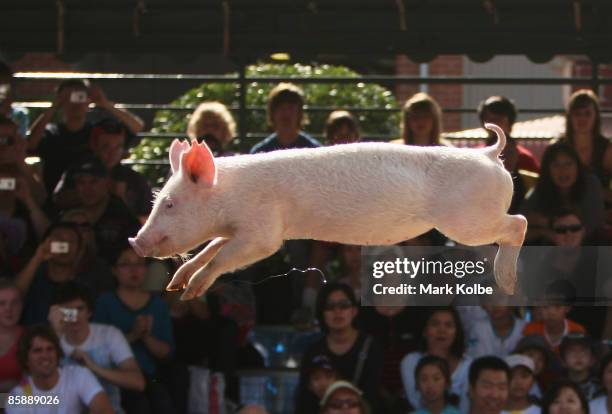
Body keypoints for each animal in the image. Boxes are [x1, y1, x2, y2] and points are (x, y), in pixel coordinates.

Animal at [128, 121, 524, 300]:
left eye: (170, 204)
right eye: (157, 200)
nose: (134, 241)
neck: (229, 194)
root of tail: (489, 154)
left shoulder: (263, 230)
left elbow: (230, 255)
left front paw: (190, 292)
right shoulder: (237, 228)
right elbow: (212, 247)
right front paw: (176, 285)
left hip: (467, 222)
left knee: (518, 222)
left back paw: (507, 283)